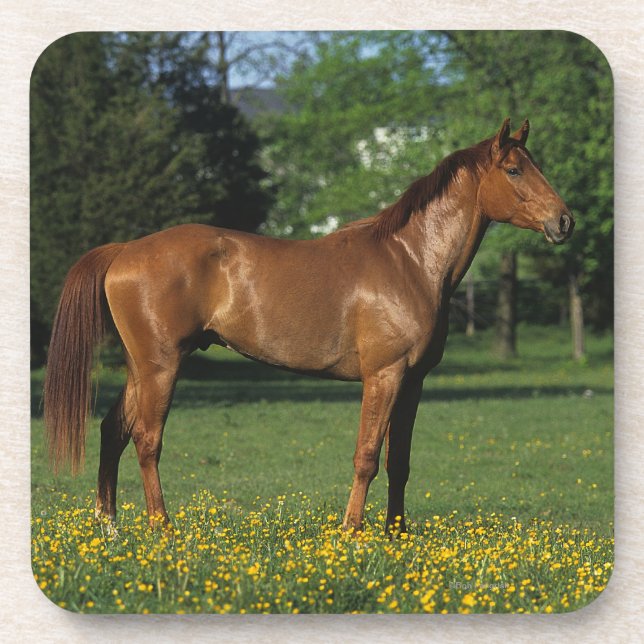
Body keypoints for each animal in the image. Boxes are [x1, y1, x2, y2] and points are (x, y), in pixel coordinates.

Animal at [43, 118, 574, 533]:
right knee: (147, 441)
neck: (410, 261)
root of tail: (124, 251)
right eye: (514, 169)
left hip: (141, 367)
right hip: (161, 367)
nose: (564, 221)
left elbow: (399, 463)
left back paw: (110, 528)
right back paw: (162, 529)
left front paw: (396, 536)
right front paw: (351, 532)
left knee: (113, 430)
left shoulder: (413, 382)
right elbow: (367, 458)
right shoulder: (384, 376)